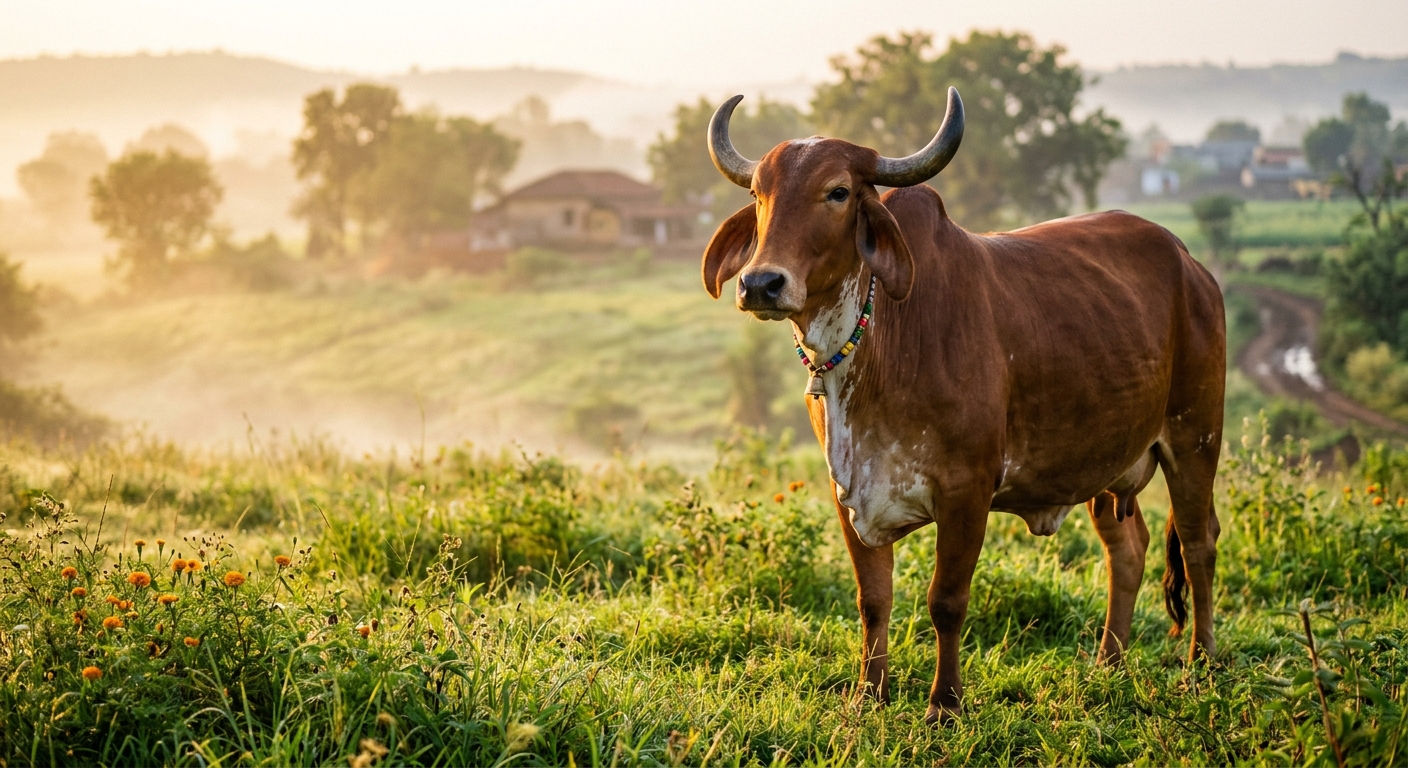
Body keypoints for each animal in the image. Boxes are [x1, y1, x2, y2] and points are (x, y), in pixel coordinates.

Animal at [700, 87, 1225, 724]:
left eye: (838, 191)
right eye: (759, 194)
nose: (761, 284)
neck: (881, 343)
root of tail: (1190, 264)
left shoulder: (967, 491)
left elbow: (946, 601)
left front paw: (944, 704)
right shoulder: (847, 489)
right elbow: (873, 600)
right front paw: (868, 694)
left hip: (1195, 436)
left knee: (1198, 544)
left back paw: (1201, 663)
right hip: (1106, 460)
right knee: (1128, 548)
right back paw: (1109, 662)